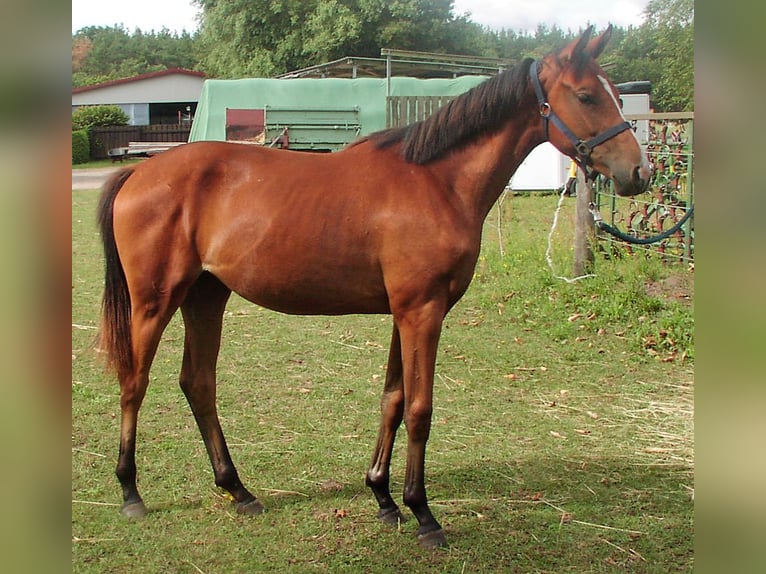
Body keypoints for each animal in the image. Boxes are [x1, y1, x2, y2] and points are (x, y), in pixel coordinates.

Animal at [97, 25, 656, 548]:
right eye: (586, 95)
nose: (639, 172)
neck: (436, 182)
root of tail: (138, 174)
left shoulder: (405, 313)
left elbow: (392, 398)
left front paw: (384, 497)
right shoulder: (422, 312)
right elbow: (419, 409)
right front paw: (423, 513)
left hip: (206, 296)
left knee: (198, 383)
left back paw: (238, 490)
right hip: (155, 301)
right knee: (134, 382)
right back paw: (130, 492)